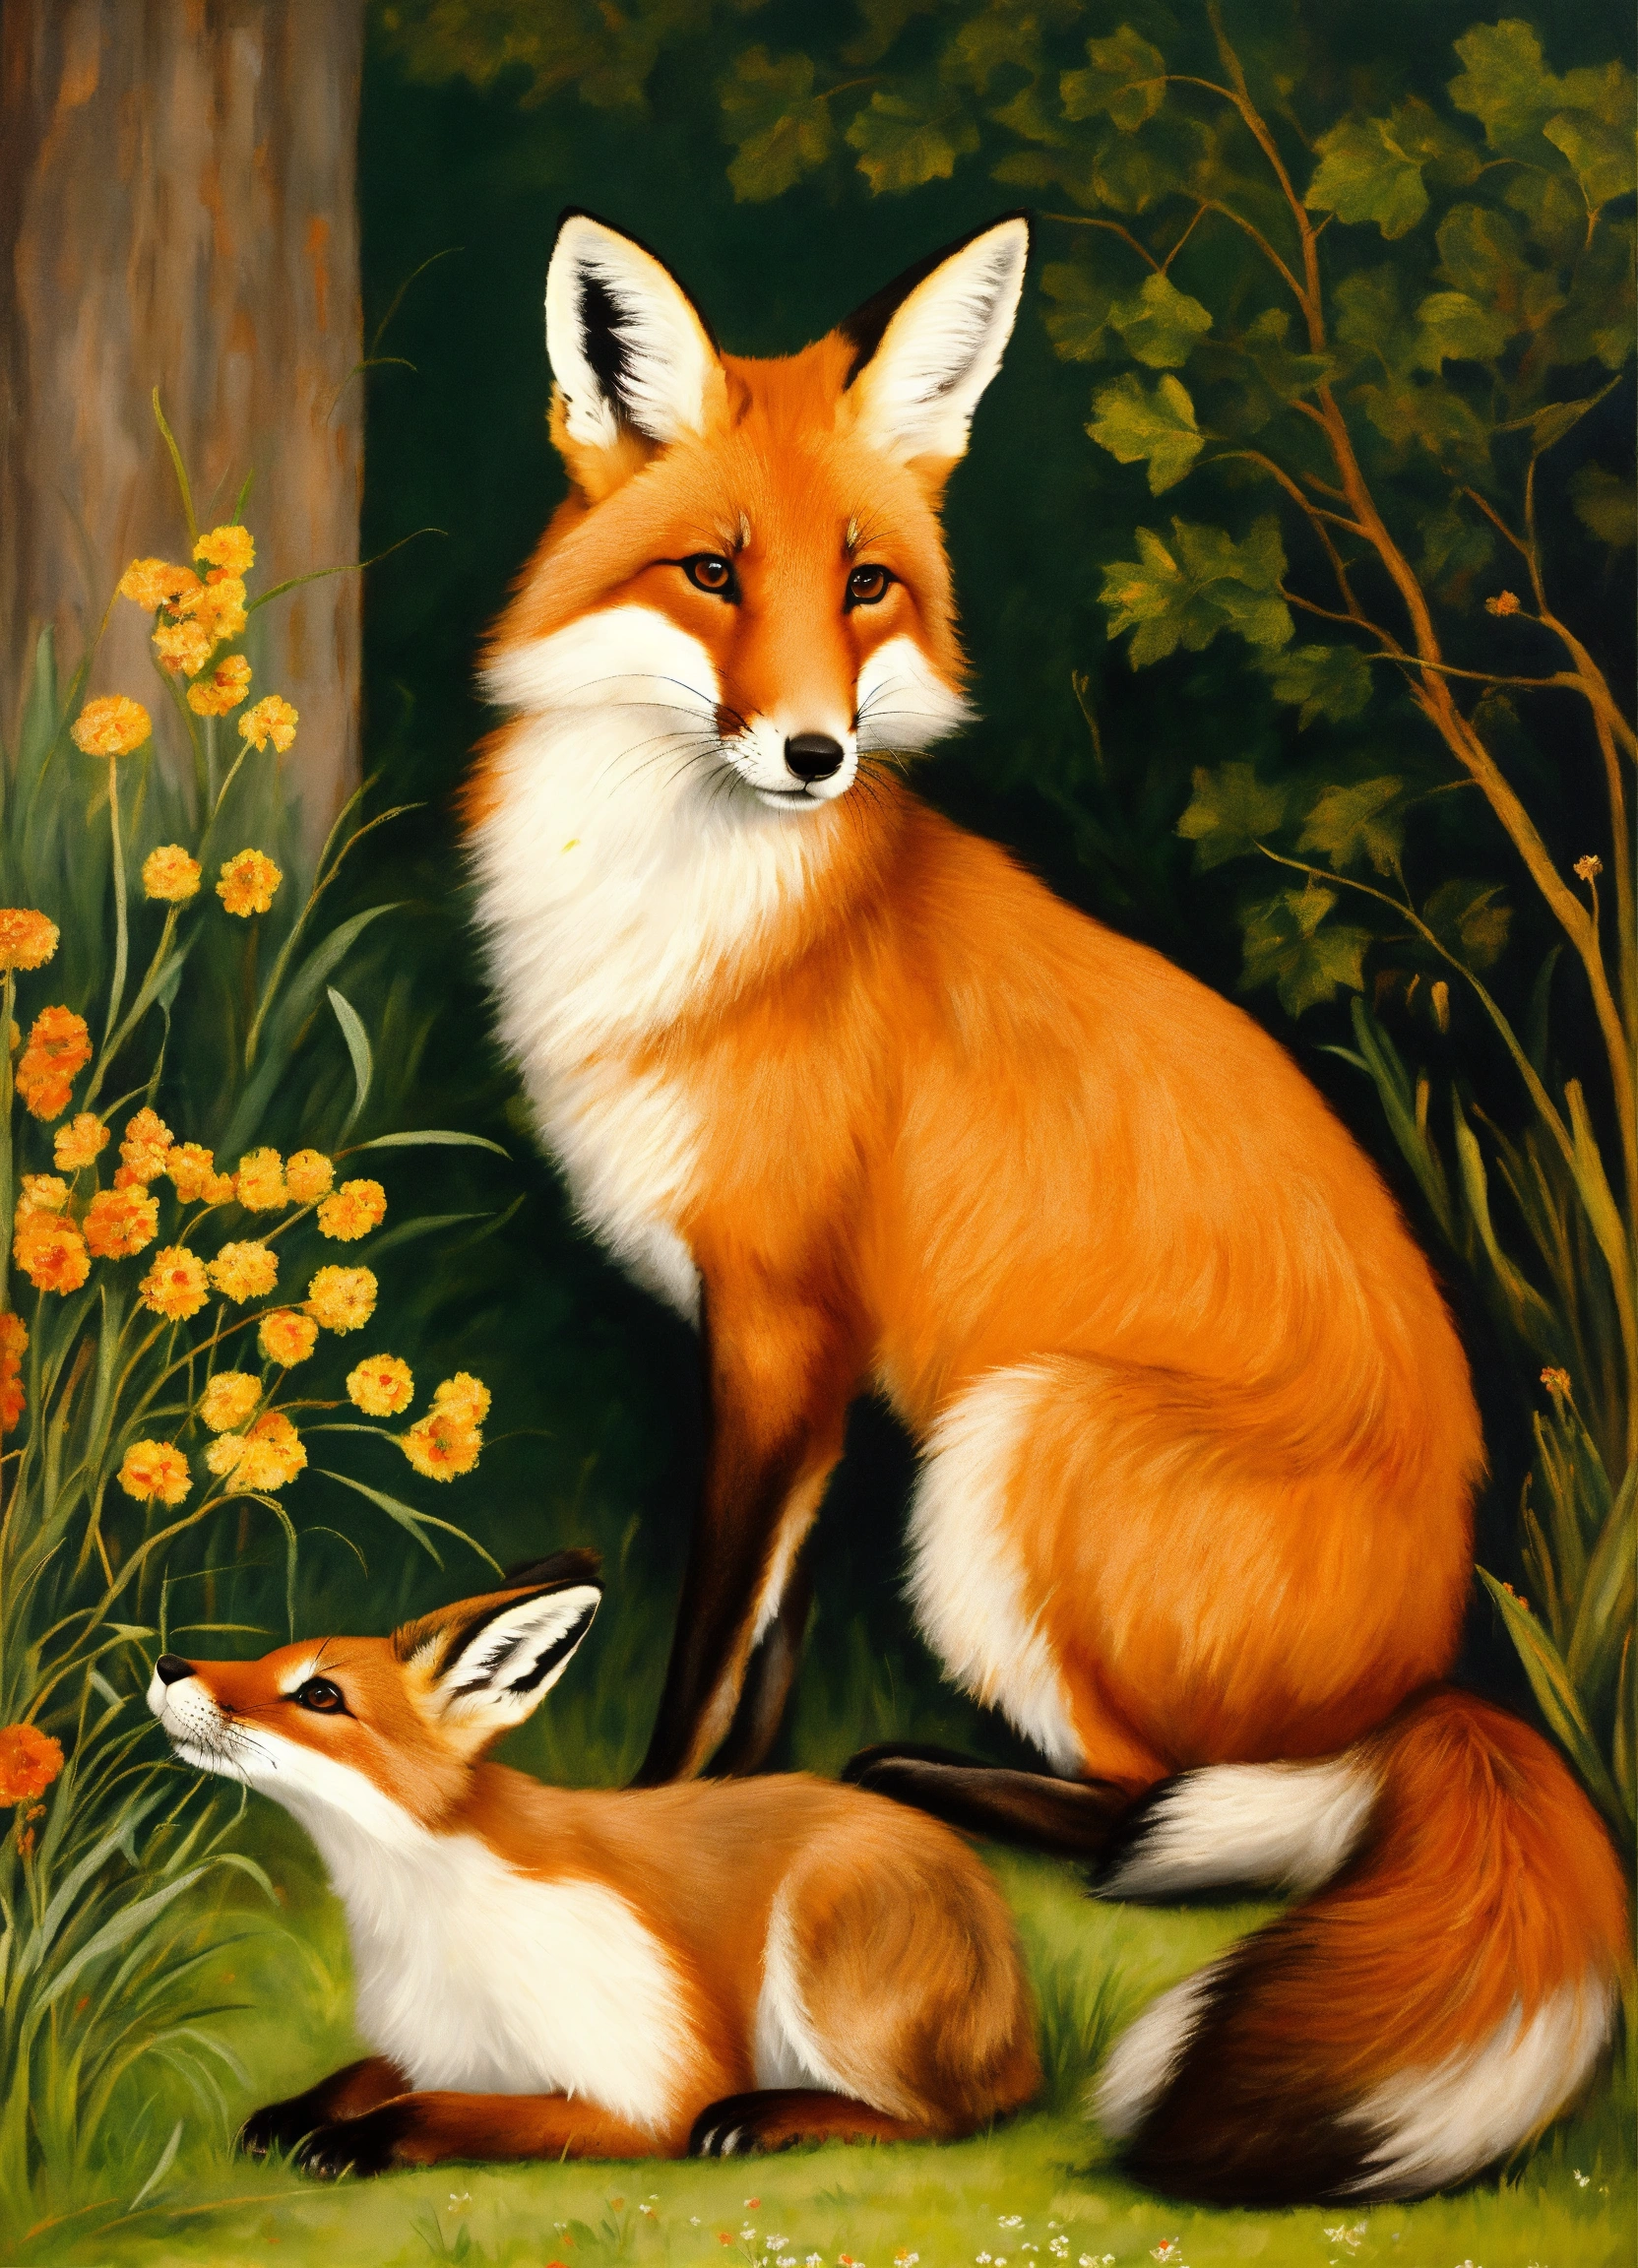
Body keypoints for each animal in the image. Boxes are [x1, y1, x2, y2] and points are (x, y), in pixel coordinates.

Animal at [146, 1551, 1039, 2174]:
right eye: (274, 1661)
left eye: (320, 1695)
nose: (165, 1666)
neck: (426, 1916)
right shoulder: (437, 2045)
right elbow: (361, 2078)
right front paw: (292, 2115)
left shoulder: (650, 2092)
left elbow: (438, 2110)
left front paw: (353, 2142)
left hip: (824, 1959)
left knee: (941, 2120)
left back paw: (764, 2121)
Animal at [462, 208, 1630, 2202]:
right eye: (711, 573)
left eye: (864, 585)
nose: (813, 755)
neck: (706, 921)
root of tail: (1442, 1663)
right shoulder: (808, 1357)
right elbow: (763, 1650)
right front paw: (753, 1817)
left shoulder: (779, 1322)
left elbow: (705, 1649)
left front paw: (671, 1830)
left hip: (1016, 1442)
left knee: (1157, 1804)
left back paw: (951, 1783)